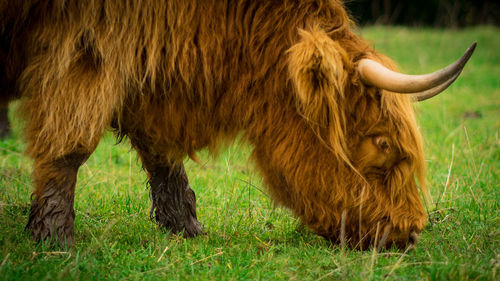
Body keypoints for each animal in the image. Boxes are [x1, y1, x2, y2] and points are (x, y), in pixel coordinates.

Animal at [0, 0, 474, 249]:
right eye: (382, 142)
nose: (410, 230)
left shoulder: (148, 60)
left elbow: (161, 154)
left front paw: (187, 228)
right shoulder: (86, 45)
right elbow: (70, 142)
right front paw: (53, 237)